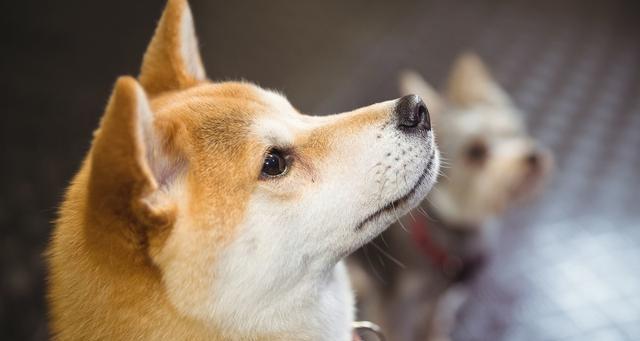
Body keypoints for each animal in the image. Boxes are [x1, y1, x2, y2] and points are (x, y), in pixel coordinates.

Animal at [348, 53, 552, 340]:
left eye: (512, 131)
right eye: (476, 152)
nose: (532, 157)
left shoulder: (435, 297)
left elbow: (431, 323)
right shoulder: (392, 306)